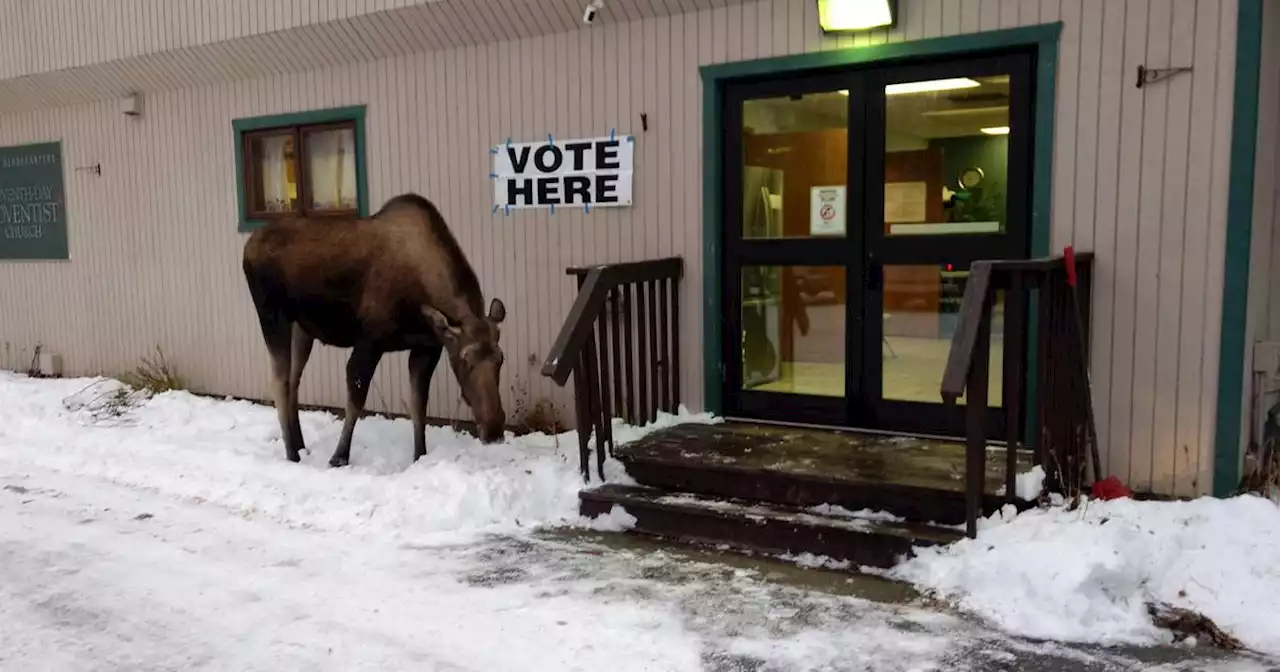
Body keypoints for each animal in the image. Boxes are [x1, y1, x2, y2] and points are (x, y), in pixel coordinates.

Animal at [240, 192, 504, 465]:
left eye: (500, 360)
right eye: (466, 361)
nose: (494, 429)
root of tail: (247, 248)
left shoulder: (427, 347)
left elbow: (418, 405)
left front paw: (419, 455)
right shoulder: (369, 342)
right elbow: (356, 400)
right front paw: (339, 457)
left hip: (302, 329)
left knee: (293, 380)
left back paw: (300, 445)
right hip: (272, 315)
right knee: (279, 381)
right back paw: (292, 454)